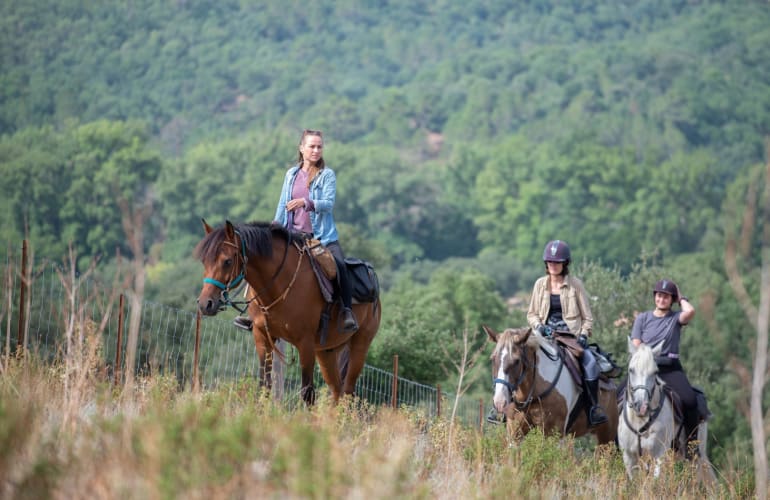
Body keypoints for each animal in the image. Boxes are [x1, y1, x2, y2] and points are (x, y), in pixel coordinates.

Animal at [195, 221, 380, 404]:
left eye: (227, 261)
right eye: (204, 261)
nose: (205, 304)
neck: (279, 286)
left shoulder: (306, 343)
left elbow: (307, 393)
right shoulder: (262, 336)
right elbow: (264, 386)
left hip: (360, 344)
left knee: (348, 392)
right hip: (326, 352)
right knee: (337, 391)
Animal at [484, 324, 616, 446]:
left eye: (517, 361)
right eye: (492, 359)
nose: (499, 402)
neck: (532, 394)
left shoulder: (553, 434)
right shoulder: (515, 435)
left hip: (606, 436)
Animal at [616, 344, 712, 480]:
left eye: (655, 372)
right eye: (631, 370)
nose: (641, 406)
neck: (640, 420)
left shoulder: (659, 454)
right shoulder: (629, 457)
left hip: (696, 451)